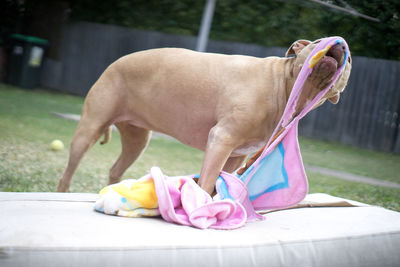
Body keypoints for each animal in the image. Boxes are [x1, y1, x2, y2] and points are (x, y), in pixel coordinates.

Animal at [57, 38, 352, 195]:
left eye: (349, 59)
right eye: (317, 42)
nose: (339, 43)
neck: (283, 87)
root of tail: (115, 62)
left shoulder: (236, 156)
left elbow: (217, 183)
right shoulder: (222, 139)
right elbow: (207, 180)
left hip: (137, 140)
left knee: (116, 169)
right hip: (89, 129)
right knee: (69, 170)